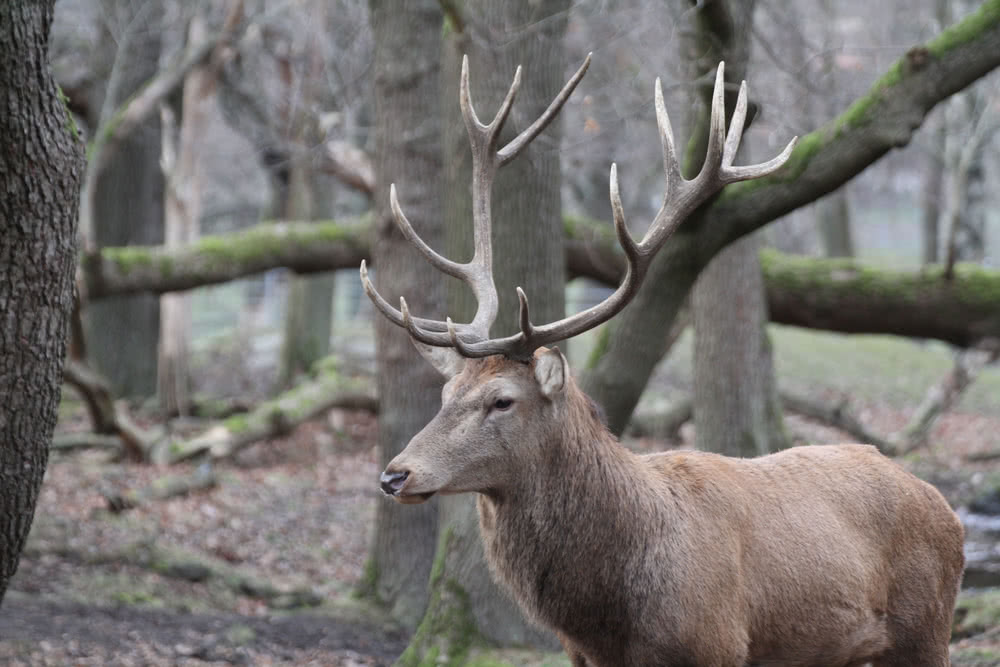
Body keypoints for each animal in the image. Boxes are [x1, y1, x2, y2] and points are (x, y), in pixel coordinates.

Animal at [360, 56, 960, 667]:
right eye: (445, 395)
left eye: (502, 400)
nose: (395, 474)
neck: (609, 621)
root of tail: (940, 502)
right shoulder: (583, 656)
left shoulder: (715, 643)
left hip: (927, 626)